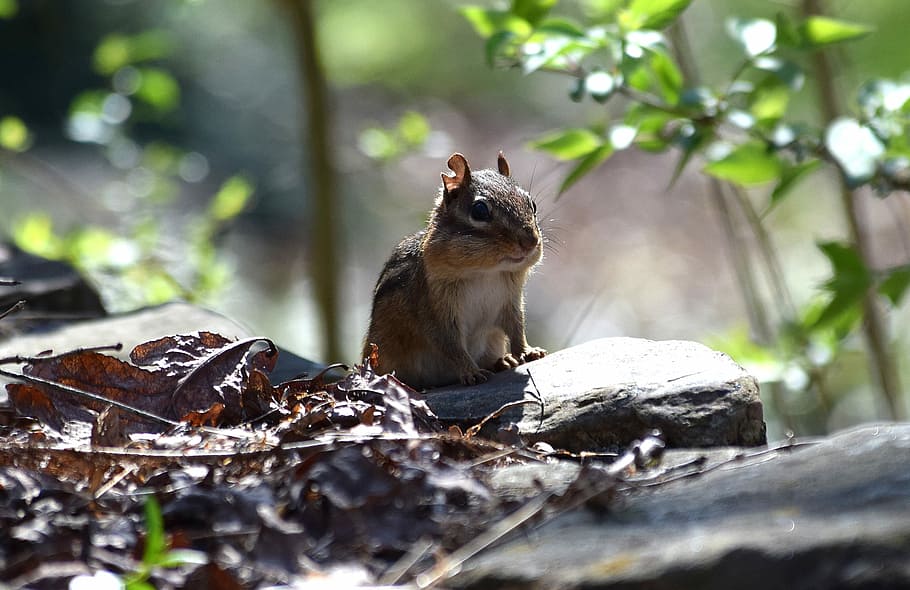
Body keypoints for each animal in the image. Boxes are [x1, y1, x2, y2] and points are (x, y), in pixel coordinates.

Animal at [362, 152, 547, 390]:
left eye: (532, 203)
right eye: (479, 210)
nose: (530, 241)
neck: (486, 273)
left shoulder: (510, 303)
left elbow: (517, 329)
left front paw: (527, 351)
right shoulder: (435, 311)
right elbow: (450, 346)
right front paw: (471, 372)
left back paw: (502, 361)